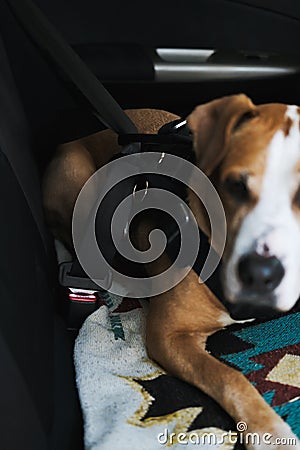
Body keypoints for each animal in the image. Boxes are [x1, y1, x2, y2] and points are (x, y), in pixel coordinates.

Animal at [42, 94, 300, 446]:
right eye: (236, 186)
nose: (262, 273)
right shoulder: (168, 335)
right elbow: (227, 376)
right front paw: (269, 431)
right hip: (78, 181)